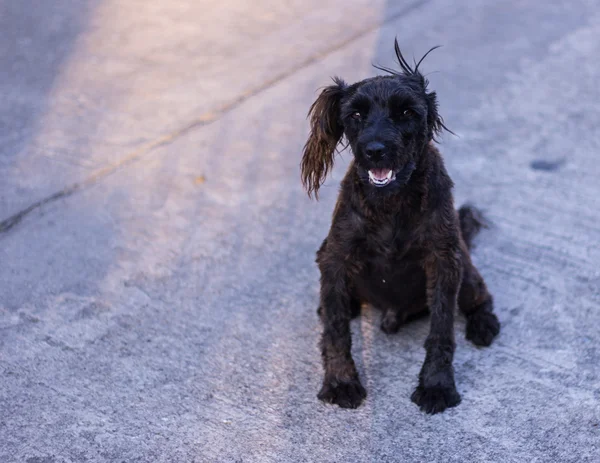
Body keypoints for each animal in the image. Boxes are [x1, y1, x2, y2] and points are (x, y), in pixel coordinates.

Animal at [300, 41, 502, 416]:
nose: (375, 150)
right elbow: (335, 330)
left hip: (465, 271)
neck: (391, 203)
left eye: (407, 112)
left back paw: (483, 324)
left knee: (482, 297)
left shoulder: (444, 262)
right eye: (356, 115)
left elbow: (441, 329)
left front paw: (436, 385)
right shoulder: (334, 259)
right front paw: (340, 382)